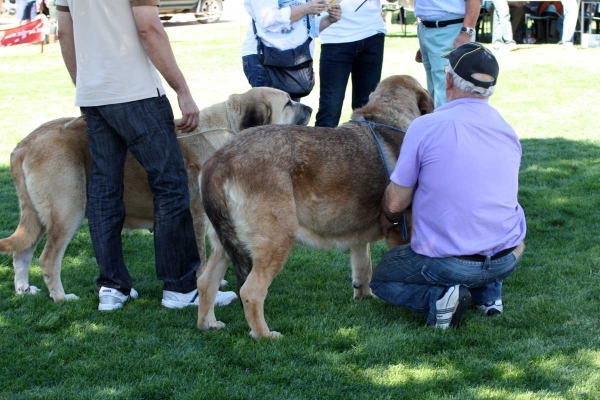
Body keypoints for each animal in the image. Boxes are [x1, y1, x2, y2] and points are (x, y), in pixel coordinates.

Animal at [2, 86, 314, 300]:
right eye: (288, 102)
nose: (310, 108)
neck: (227, 131)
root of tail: (23, 145)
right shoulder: (196, 215)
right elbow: (200, 254)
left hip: (37, 216)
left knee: (22, 252)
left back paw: (23, 289)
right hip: (68, 212)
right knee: (47, 259)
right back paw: (60, 297)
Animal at [199, 75, 434, 338]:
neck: (387, 119)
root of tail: (220, 160)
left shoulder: (358, 235)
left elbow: (363, 266)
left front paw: (364, 295)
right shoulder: (400, 231)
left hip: (224, 244)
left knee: (206, 282)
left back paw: (208, 323)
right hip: (277, 240)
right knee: (250, 292)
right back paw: (265, 335)